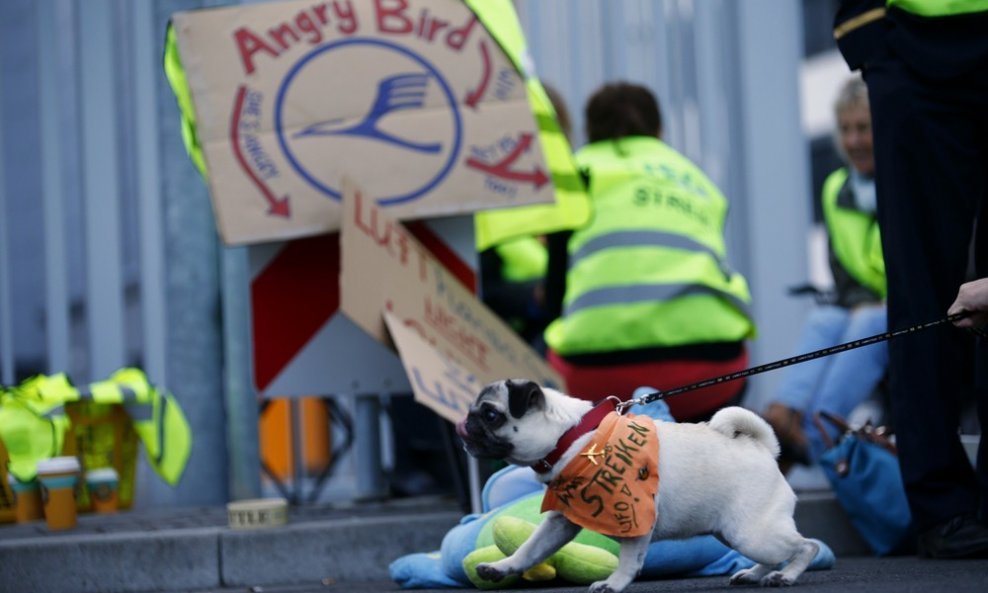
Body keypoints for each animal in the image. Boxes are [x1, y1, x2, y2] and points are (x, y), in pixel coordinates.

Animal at [456, 380, 820, 592]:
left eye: (490, 415)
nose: (464, 423)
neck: (573, 437)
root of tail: (763, 448)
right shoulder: (560, 523)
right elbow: (529, 549)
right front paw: (502, 568)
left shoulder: (634, 516)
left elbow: (629, 560)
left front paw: (614, 583)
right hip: (735, 533)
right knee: (776, 554)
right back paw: (755, 575)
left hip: (750, 533)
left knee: (807, 546)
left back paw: (786, 576)